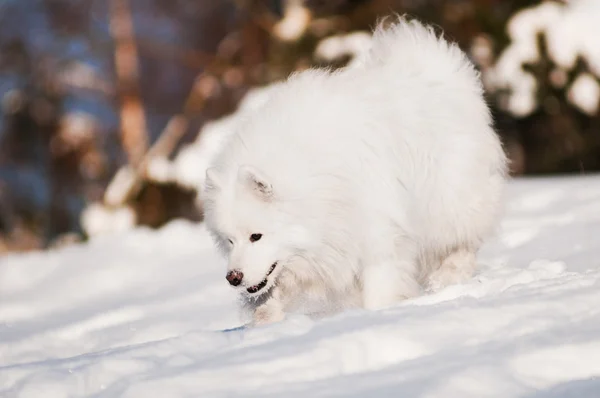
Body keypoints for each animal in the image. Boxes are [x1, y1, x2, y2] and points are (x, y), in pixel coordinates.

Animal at [200, 16, 506, 326]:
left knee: (463, 240)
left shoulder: (379, 235)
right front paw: (266, 319)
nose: (233, 278)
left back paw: (448, 277)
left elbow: (379, 290)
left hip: (448, 199)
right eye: (229, 240)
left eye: (256, 236)